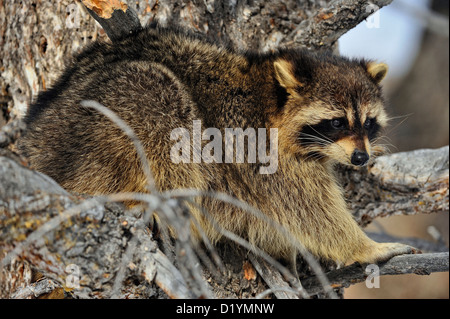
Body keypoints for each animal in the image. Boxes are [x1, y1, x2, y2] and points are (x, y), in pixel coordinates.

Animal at [18, 26, 418, 274]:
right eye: (336, 122)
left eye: (368, 122)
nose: (361, 158)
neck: (270, 100)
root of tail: (34, 145)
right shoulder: (258, 151)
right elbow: (308, 211)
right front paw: (362, 247)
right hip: (99, 123)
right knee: (160, 98)